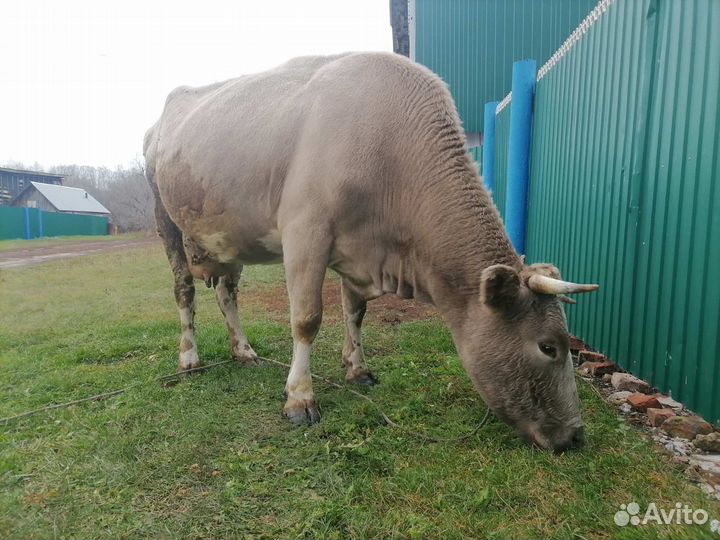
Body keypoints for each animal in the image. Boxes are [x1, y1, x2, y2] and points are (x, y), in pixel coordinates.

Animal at [144, 52, 598, 452]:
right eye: (548, 347)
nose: (576, 436)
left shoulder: (357, 249)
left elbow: (355, 311)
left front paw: (357, 368)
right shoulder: (305, 232)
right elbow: (307, 319)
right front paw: (300, 397)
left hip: (226, 237)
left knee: (226, 293)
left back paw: (243, 351)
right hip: (166, 220)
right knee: (184, 292)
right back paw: (189, 359)